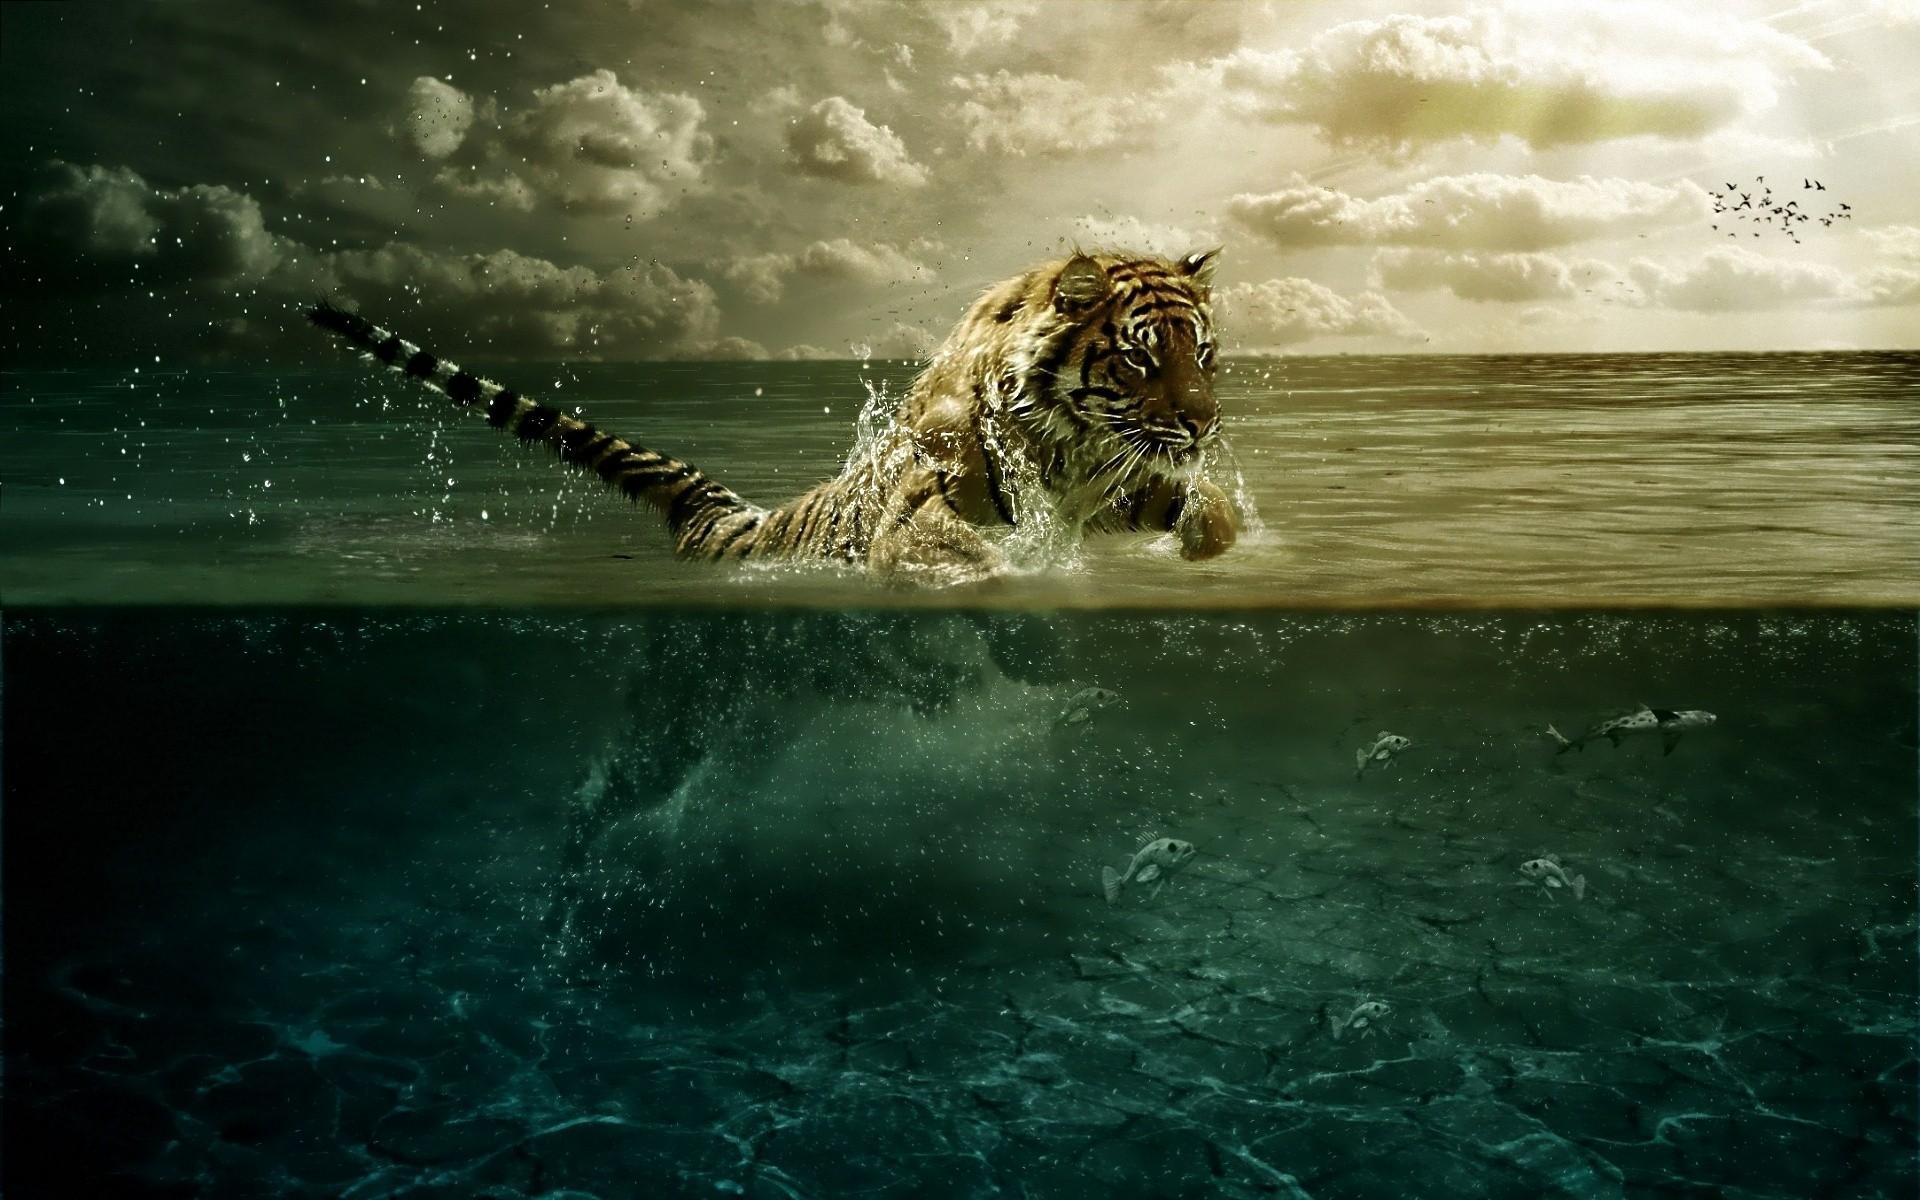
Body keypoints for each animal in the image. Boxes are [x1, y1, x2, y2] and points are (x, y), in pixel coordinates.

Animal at [306, 247, 1238, 585]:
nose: (1202, 426)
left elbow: (1210, 513)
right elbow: (965, 554)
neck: (1070, 451)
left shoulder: (1122, 482)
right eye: (1139, 358)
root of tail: (729, 520)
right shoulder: (921, 512)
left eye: (1203, 354)